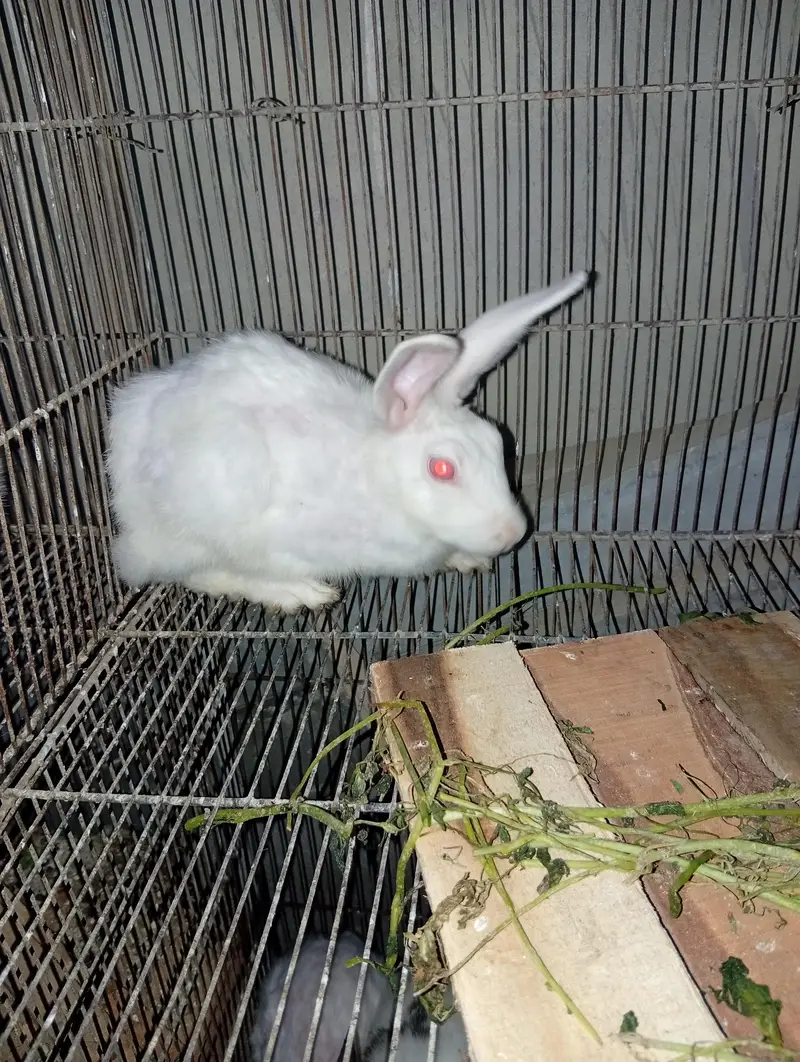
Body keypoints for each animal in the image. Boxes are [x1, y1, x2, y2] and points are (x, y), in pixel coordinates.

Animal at [107, 271, 589, 613]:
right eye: (442, 469)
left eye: (497, 443)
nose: (512, 535)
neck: (377, 482)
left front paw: (467, 559)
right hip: (198, 523)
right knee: (195, 574)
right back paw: (301, 593)